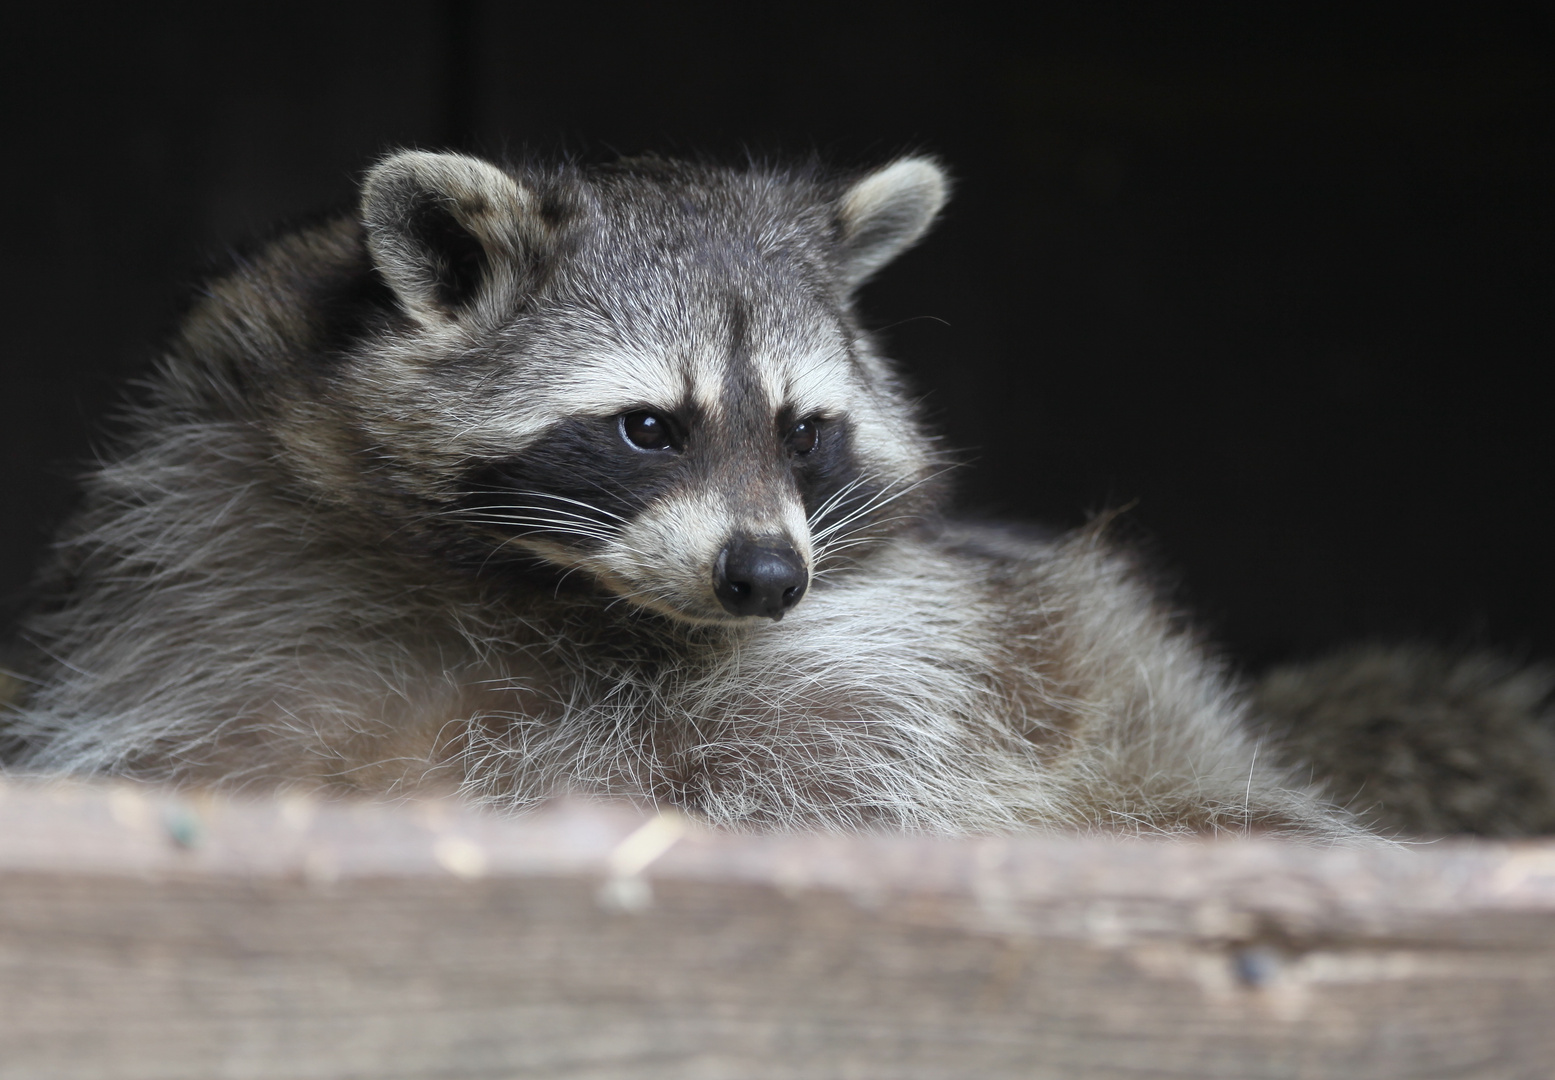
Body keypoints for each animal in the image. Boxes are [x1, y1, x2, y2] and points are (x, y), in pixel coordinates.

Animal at [0, 152, 1368, 839]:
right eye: (648, 428)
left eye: (807, 433)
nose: (765, 577)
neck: (538, 587)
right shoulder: (207, 560)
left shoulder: (914, 653)